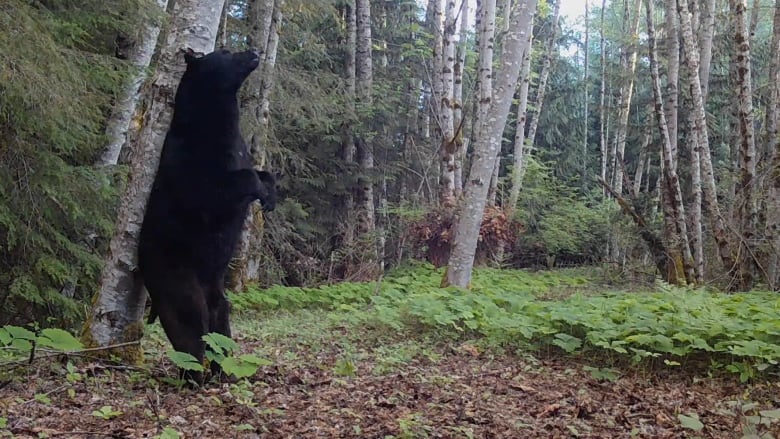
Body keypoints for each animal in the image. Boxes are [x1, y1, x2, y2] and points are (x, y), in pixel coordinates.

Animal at [139, 49, 276, 384]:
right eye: (226, 52)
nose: (254, 51)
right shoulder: (190, 164)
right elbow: (215, 190)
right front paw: (258, 189)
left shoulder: (238, 147)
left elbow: (259, 170)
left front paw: (271, 193)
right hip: (176, 276)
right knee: (189, 324)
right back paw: (193, 377)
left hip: (216, 291)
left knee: (220, 326)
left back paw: (225, 372)